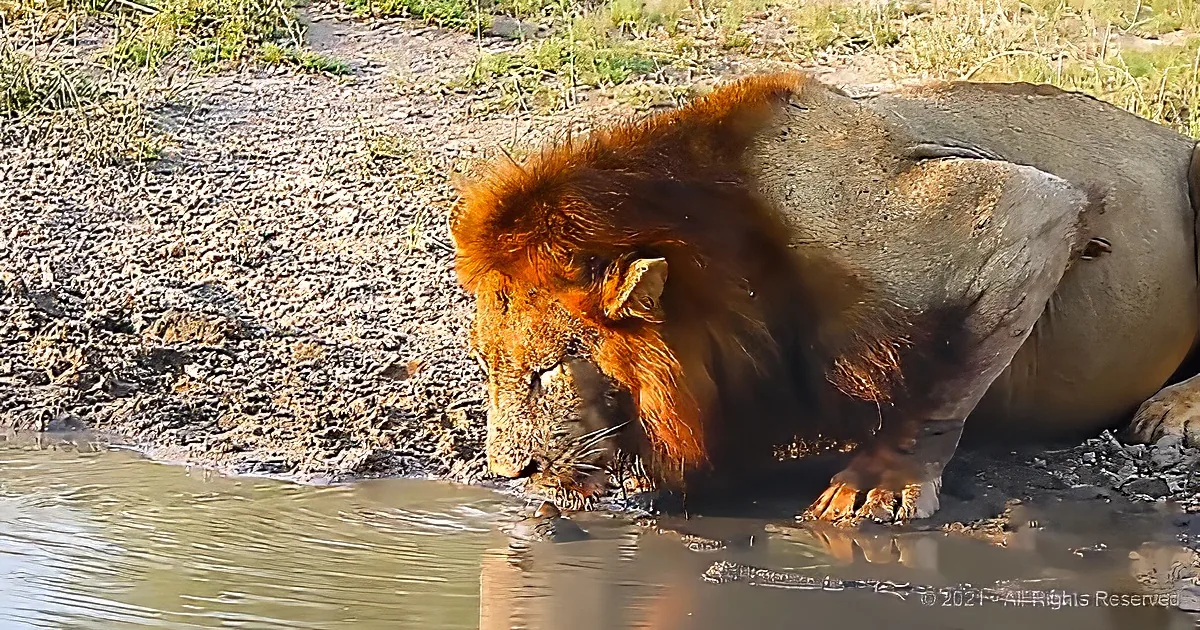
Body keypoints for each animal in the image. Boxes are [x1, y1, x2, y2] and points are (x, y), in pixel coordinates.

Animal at [450, 72, 1200, 523]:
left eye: (549, 369)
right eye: (487, 366)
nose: (510, 471)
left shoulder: (1018, 210)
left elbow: (943, 381)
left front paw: (877, 485)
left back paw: (1172, 411)